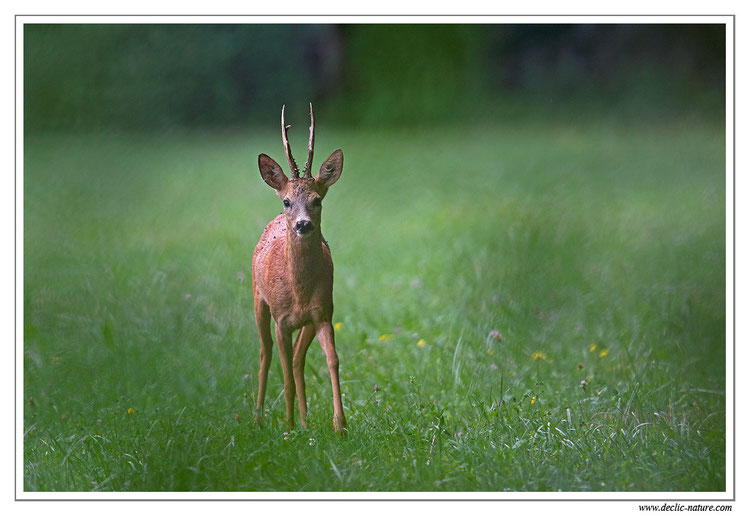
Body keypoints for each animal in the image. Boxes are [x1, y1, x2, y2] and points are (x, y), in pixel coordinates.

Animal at [253, 104, 346, 432]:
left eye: (318, 200)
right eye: (287, 201)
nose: (303, 224)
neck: (299, 290)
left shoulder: (324, 313)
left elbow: (333, 360)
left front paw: (340, 426)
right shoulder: (282, 320)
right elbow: (283, 372)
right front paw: (287, 427)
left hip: (307, 321)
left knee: (296, 359)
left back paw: (306, 422)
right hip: (258, 300)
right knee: (265, 352)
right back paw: (259, 418)